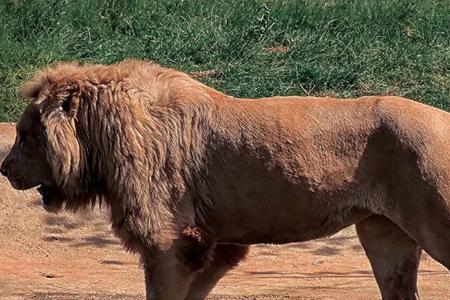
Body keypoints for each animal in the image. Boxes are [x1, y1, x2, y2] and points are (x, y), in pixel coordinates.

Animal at [0, 59, 450, 298]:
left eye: (24, 135)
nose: (3, 169)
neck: (105, 131)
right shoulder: (213, 244)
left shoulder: (169, 240)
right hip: (385, 237)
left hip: (435, 223)